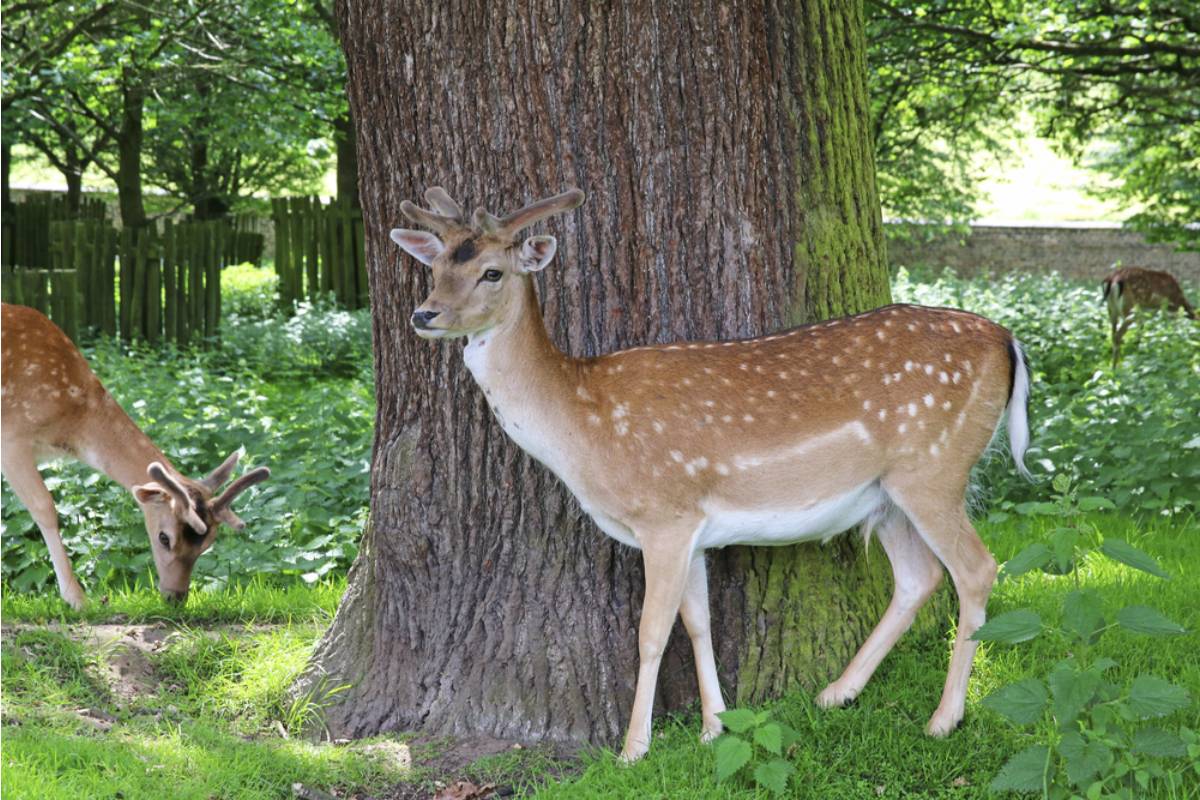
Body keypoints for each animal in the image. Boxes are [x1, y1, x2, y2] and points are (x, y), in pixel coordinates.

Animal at [1, 303, 270, 609]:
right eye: (164, 538)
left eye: (209, 542)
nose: (175, 597)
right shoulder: (12, 438)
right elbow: (45, 507)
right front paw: (77, 599)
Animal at [390, 186, 1033, 762]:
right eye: (436, 265)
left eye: (492, 272)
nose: (424, 314)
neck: (584, 426)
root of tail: (1008, 340)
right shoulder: (695, 528)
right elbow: (698, 622)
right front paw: (715, 727)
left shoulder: (665, 514)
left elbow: (651, 632)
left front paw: (633, 750)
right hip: (885, 496)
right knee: (919, 578)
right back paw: (835, 693)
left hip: (935, 469)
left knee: (976, 569)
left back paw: (944, 719)